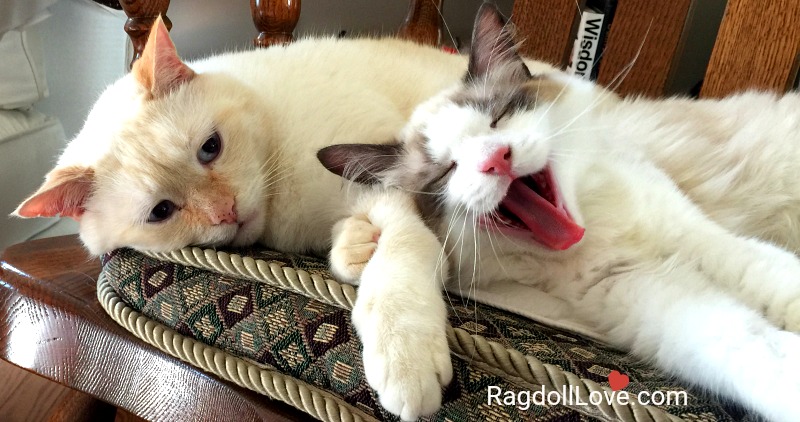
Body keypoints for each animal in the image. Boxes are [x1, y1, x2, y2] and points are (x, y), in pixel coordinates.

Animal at [318, 4, 800, 422]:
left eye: (499, 118)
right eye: (447, 171)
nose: (496, 160)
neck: (600, 228)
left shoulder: (702, 239)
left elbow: (776, 281)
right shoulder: (659, 296)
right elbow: (753, 346)